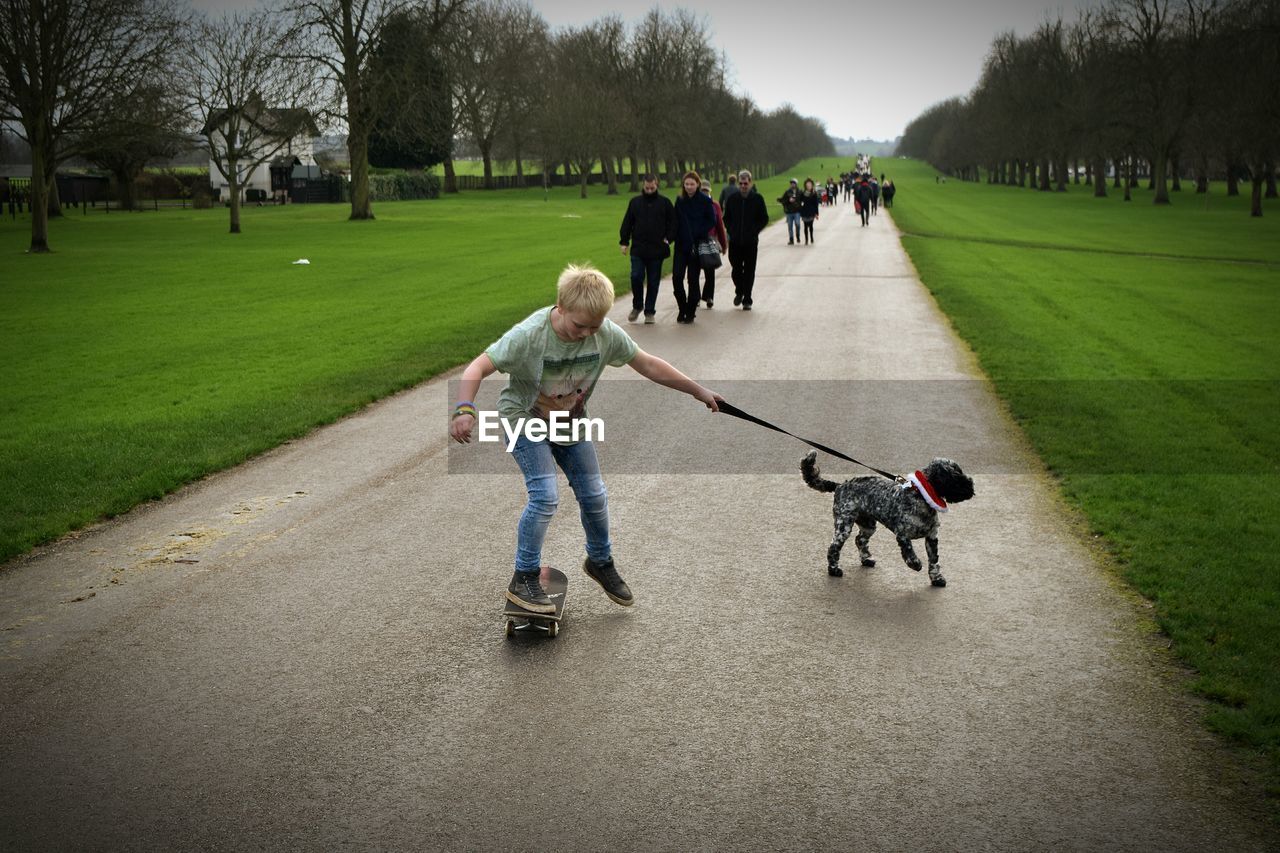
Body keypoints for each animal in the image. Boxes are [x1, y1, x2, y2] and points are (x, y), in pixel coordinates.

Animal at [803, 450, 972, 584]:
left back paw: (866, 559)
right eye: (955, 476)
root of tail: (840, 485)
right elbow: (909, 551)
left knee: (860, 540)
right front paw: (915, 564)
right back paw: (834, 569)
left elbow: (934, 560)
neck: (921, 496)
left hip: (868, 525)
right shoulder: (902, 534)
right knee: (833, 547)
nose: (971, 486)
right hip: (844, 526)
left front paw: (936, 578)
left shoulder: (932, 537)